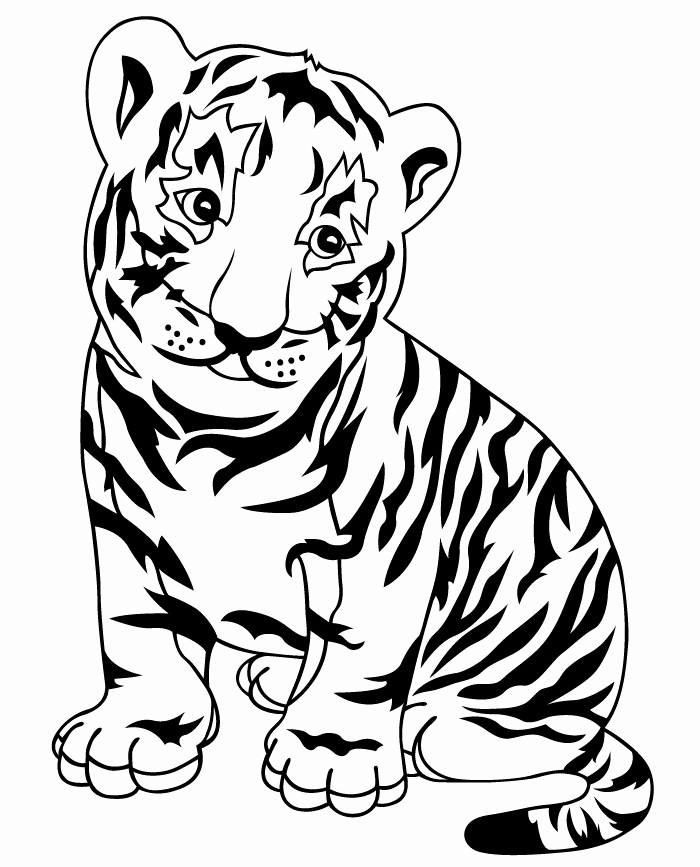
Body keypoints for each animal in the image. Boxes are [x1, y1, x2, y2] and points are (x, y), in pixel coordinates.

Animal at [52, 16, 653, 855]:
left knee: (548, 733)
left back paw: (422, 725)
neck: (205, 433)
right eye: (201, 205)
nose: (244, 331)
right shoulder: (125, 522)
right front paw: (139, 731)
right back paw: (277, 677)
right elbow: (138, 626)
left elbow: (362, 652)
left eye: (328, 241)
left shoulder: (382, 547)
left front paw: (329, 755)